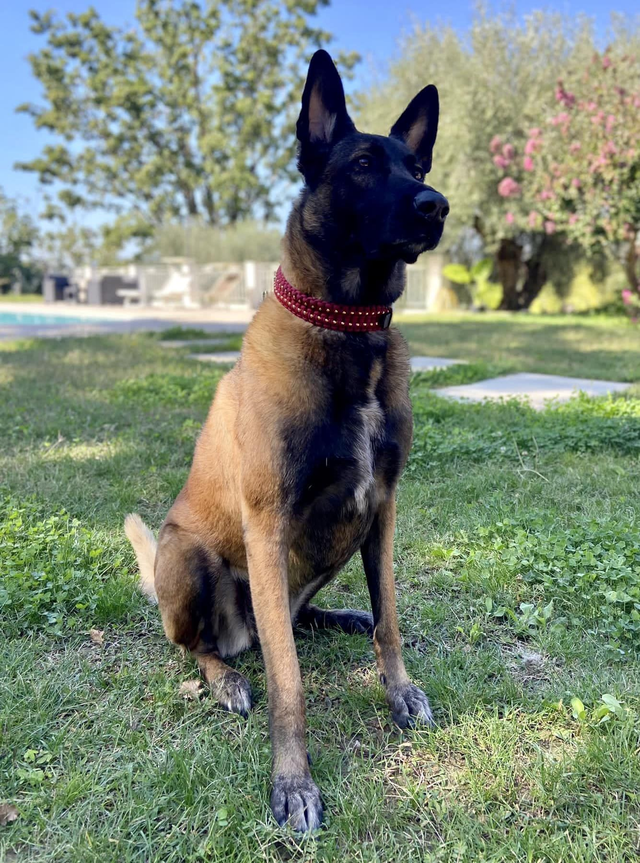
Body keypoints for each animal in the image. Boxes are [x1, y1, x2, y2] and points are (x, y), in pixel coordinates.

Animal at [125, 49, 448, 832]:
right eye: (361, 166)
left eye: (415, 167)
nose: (436, 205)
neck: (348, 329)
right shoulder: (267, 525)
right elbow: (288, 681)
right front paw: (293, 781)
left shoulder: (382, 510)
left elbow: (391, 621)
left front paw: (399, 690)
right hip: (191, 560)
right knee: (204, 646)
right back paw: (226, 679)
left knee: (301, 621)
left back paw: (336, 615)